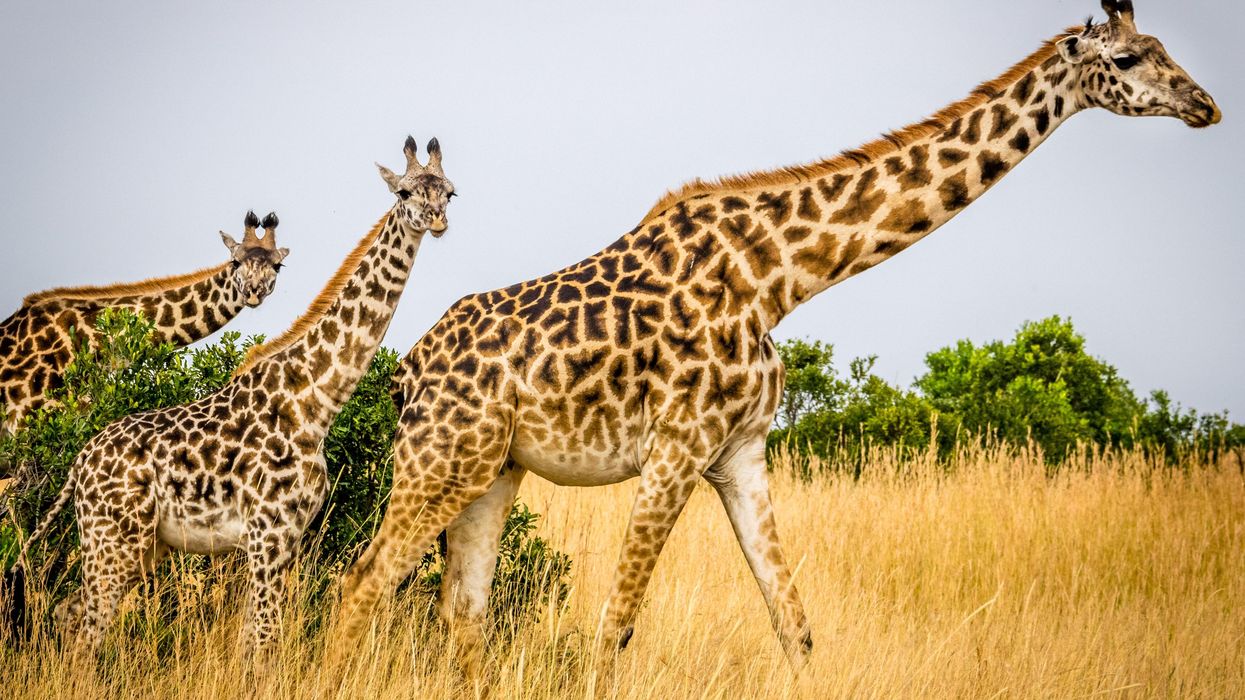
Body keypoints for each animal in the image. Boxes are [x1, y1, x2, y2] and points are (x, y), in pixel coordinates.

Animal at [330, 0, 1219, 674]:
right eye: (1131, 57)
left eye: (1164, 49)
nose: (1204, 105)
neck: (779, 280)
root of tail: (406, 372)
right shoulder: (676, 449)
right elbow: (614, 626)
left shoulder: (741, 454)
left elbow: (794, 625)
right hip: (438, 462)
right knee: (361, 582)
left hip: (493, 470)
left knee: (463, 608)